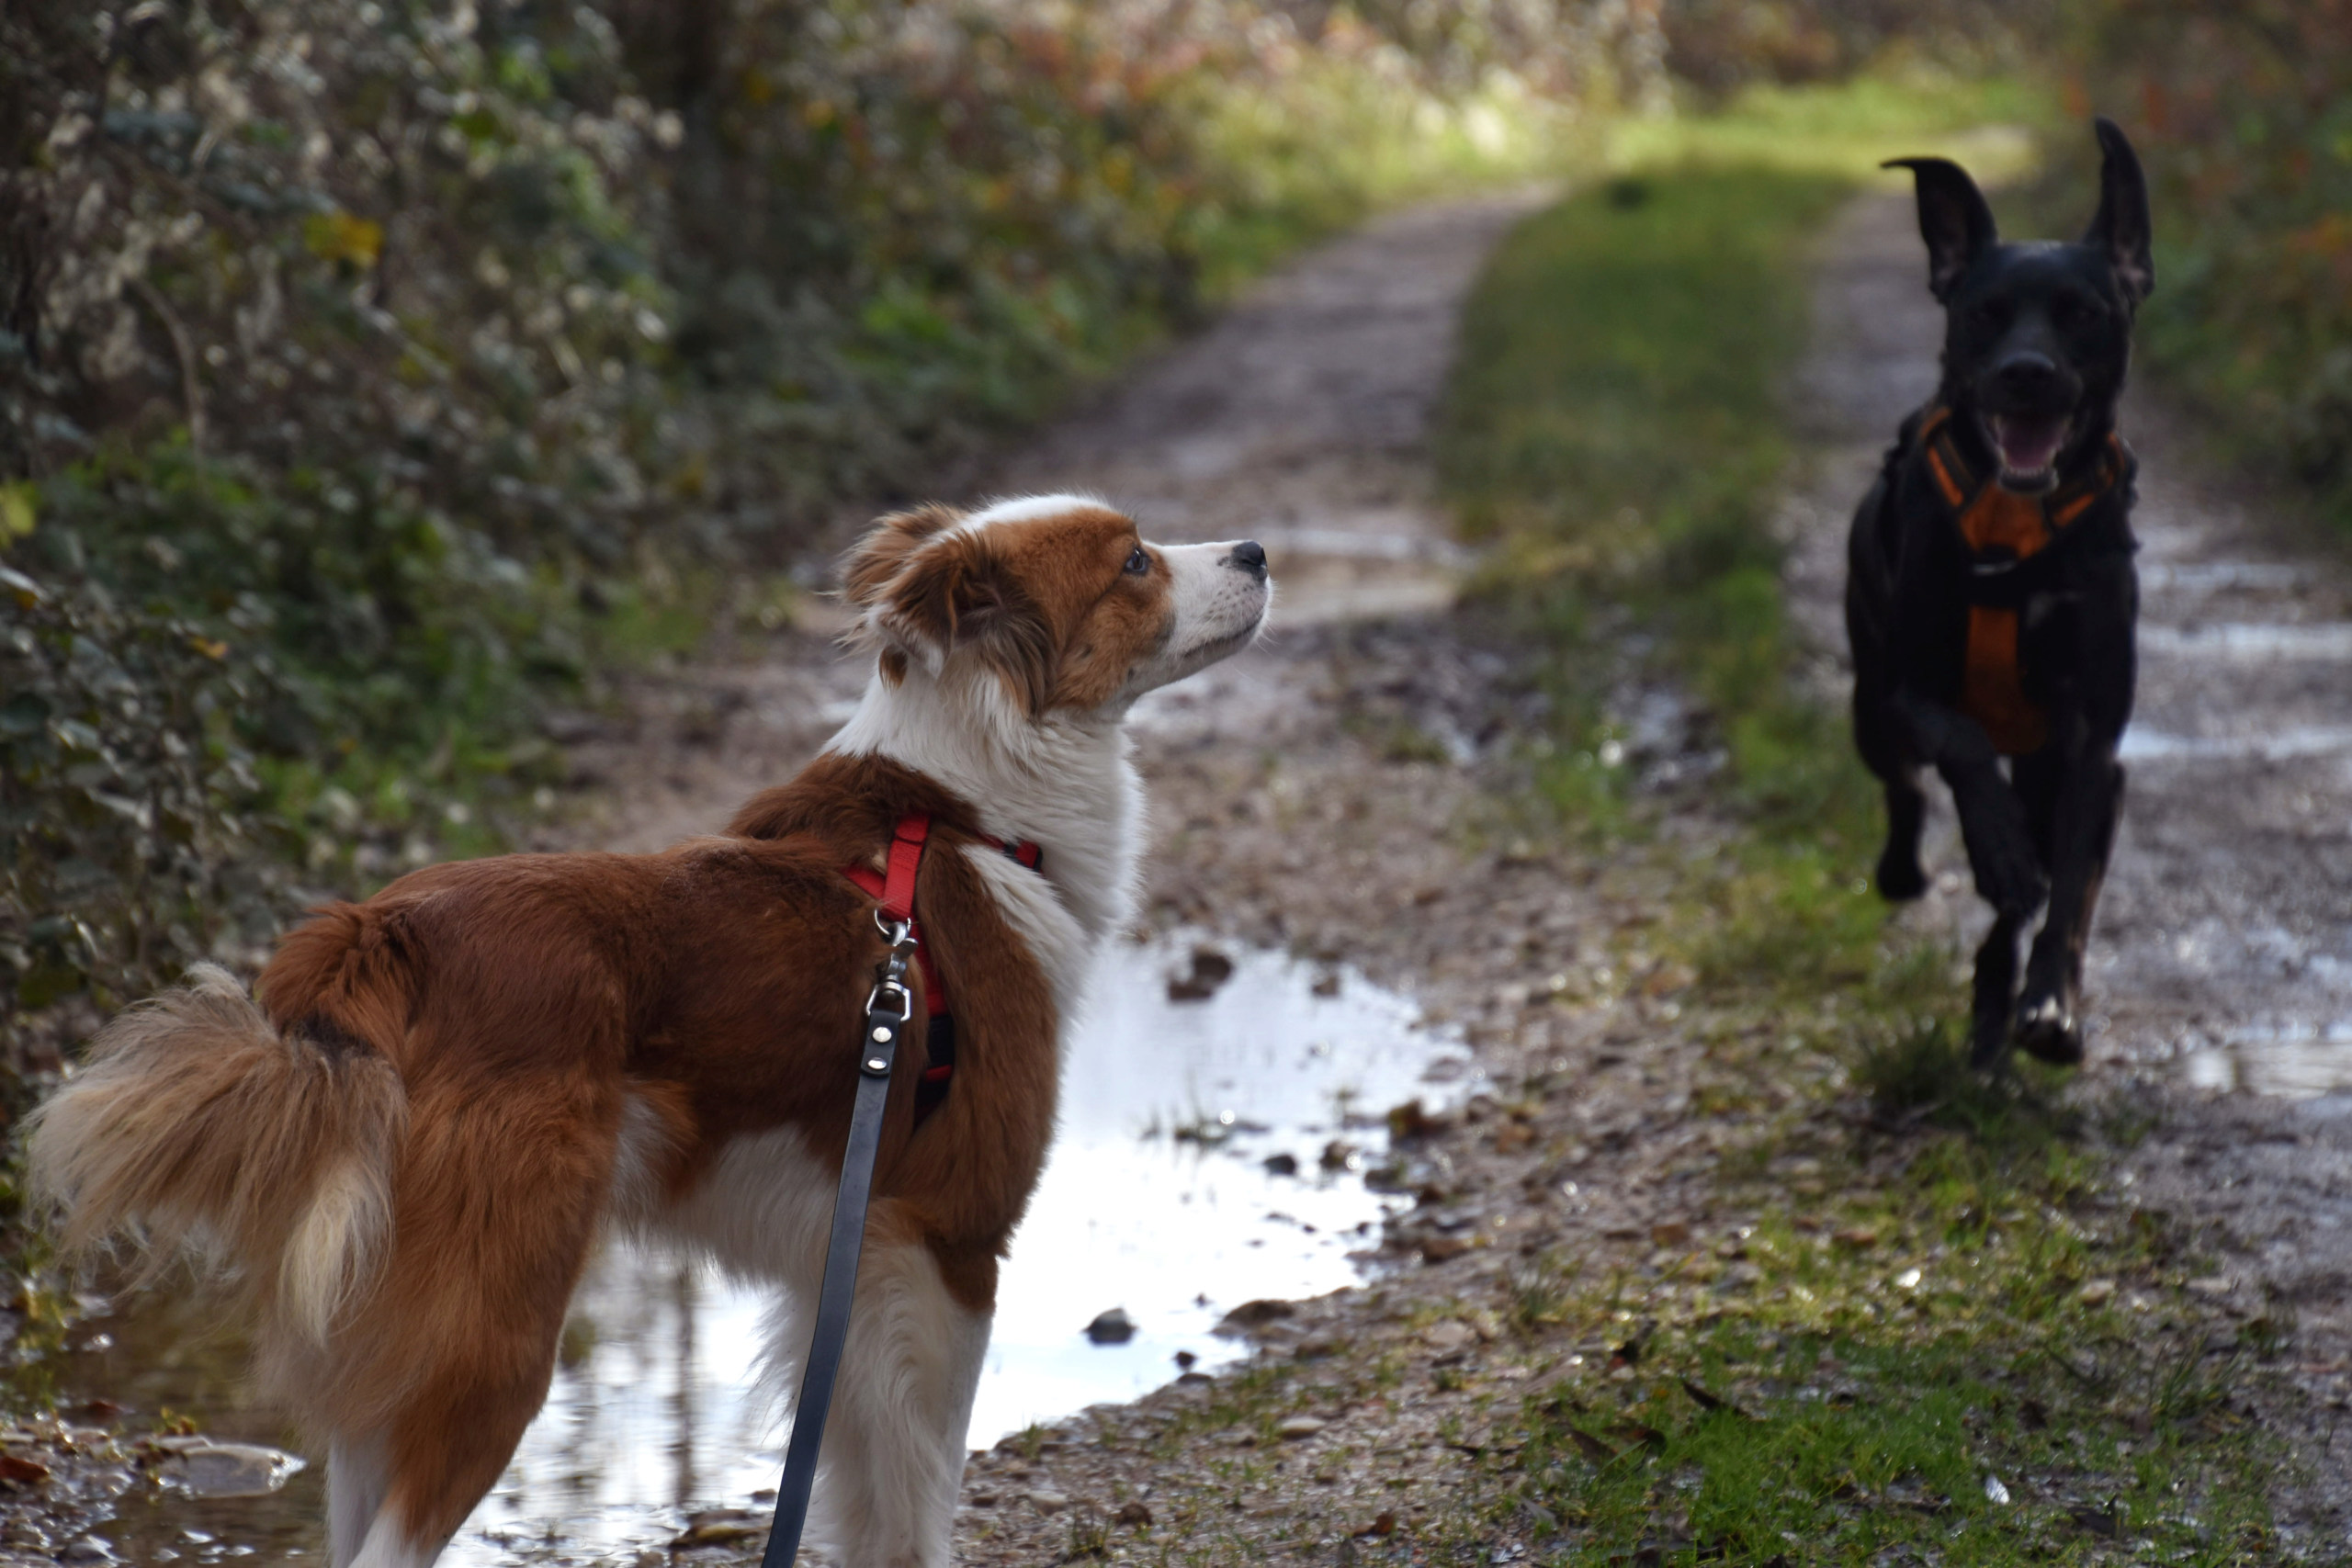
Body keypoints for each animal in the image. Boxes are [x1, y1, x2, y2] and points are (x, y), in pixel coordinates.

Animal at [22, 495, 1270, 1568]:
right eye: (1134, 562)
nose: (1258, 550)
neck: (965, 817)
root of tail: (379, 933)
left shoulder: (853, 1259)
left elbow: (855, 1481)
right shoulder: (950, 1240)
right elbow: (920, 1494)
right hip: (498, 1336)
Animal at [1844, 119, 2154, 1066]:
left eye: (2083, 313)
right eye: (1982, 312)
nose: (2026, 372)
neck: (2014, 531)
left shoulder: (2092, 745)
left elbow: (2073, 893)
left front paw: (2051, 1007)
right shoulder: (1910, 689)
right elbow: (1961, 743)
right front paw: (1999, 853)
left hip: (2045, 761)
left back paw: (1995, 991)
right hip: (1868, 707)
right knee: (1906, 787)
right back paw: (1917, 872)